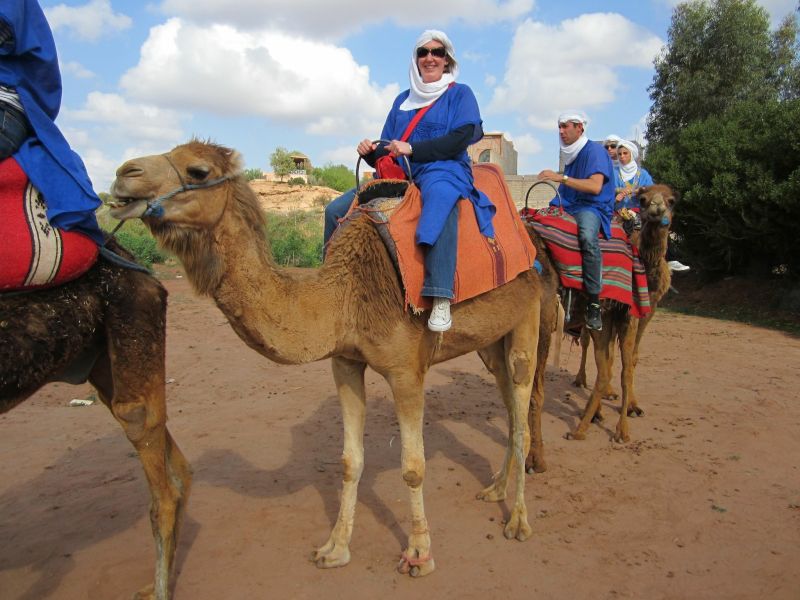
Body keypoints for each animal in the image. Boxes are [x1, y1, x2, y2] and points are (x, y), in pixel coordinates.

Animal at [109, 139, 548, 576]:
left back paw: (518, 521)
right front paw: (335, 548)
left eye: (198, 171)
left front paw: (420, 554)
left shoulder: (406, 370)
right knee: (510, 407)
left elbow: (413, 466)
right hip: (491, 340)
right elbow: (350, 461)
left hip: (528, 316)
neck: (346, 294)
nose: (124, 175)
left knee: (522, 410)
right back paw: (494, 489)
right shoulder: (345, 361)